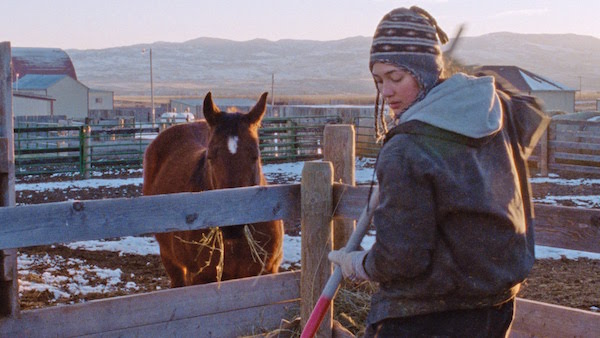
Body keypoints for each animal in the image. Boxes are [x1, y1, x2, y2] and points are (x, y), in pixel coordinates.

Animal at [145, 92, 286, 288]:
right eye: (211, 156)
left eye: (255, 155)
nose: (233, 226)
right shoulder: (201, 278)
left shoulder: (266, 272)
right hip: (170, 259)